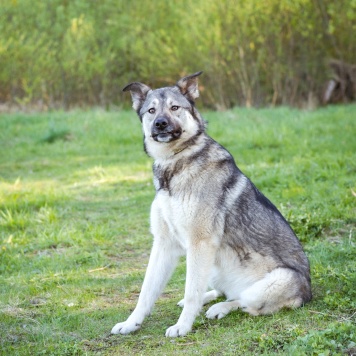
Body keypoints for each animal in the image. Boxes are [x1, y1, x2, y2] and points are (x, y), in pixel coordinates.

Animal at [112, 70, 312, 336]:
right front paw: (131, 323)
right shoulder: (164, 243)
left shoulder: (200, 243)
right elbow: (146, 291)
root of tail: (309, 293)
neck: (175, 163)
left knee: (243, 302)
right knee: (222, 291)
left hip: (274, 280)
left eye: (175, 107)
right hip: (214, 267)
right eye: (151, 111)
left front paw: (182, 326)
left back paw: (220, 308)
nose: (160, 124)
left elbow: (191, 290)